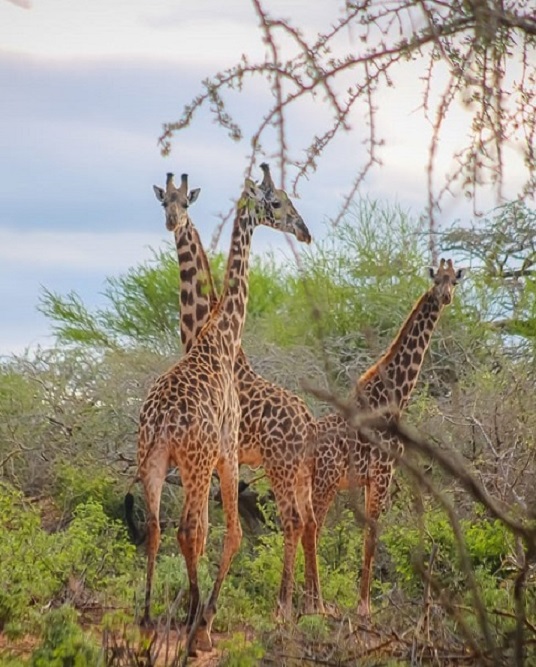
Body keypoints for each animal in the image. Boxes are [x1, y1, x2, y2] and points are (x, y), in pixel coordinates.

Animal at [137, 167, 312, 652]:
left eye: (183, 203)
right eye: (277, 202)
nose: (305, 231)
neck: (214, 333)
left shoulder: (224, 457)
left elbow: (217, 531)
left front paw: (200, 617)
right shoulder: (227, 454)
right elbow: (224, 532)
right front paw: (202, 620)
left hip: (184, 463)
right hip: (206, 464)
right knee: (185, 528)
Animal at [309, 258, 464, 617]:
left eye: (455, 281)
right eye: (437, 279)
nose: (445, 297)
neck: (395, 398)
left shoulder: (371, 478)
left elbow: (369, 535)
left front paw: (362, 602)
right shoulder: (383, 472)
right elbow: (371, 537)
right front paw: (364, 606)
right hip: (325, 482)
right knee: (312, 530)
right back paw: (316, 604)